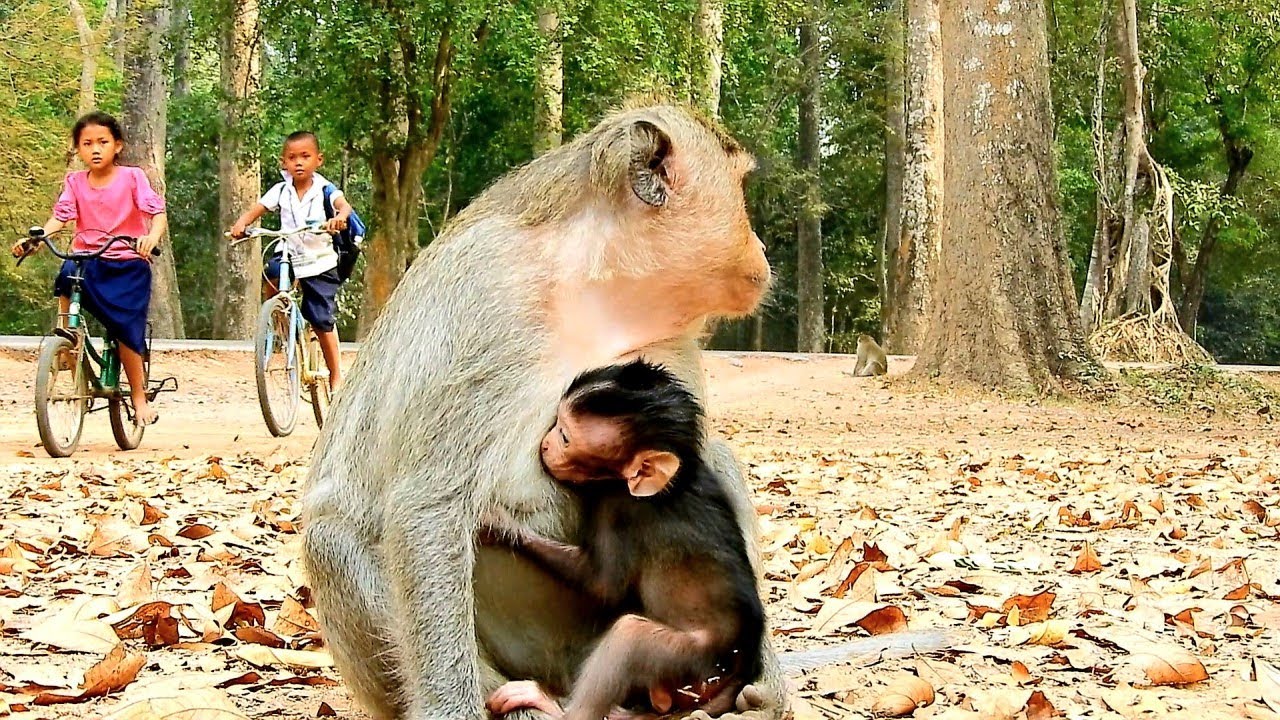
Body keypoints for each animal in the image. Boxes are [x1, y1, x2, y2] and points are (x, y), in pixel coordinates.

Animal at [479, 360, 764, 720]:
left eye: (565, 436)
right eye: (556, 423)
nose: (545, 444)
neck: (677, 475)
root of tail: (740, 673)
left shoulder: (618, 506)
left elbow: (603, 584)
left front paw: (500, 526)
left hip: (698, 662)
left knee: (630, 637)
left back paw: (550, 703)